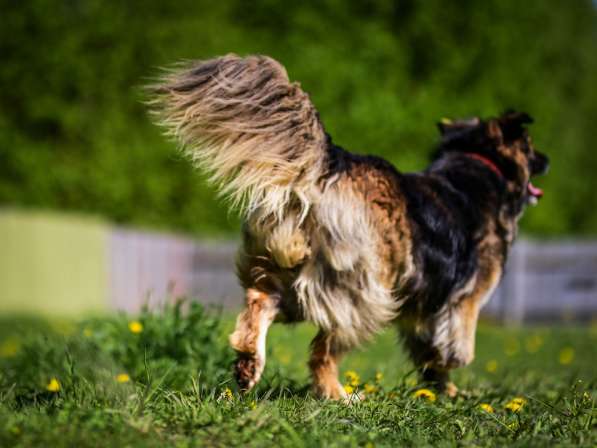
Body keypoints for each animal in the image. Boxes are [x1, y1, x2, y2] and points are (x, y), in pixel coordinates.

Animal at [148, 53, 544, 400]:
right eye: (530, 146)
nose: (547, 159)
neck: (475, 164)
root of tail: (332, 165)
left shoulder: (422, 307)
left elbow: (428, 353)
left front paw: (443, 389)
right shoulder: (467, 295)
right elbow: (458, 342)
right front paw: (451, 372)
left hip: (286, 269)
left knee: (259, 305)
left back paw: (249, 366)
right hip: (364, 295)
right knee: (321, 352)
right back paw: (339, 396)